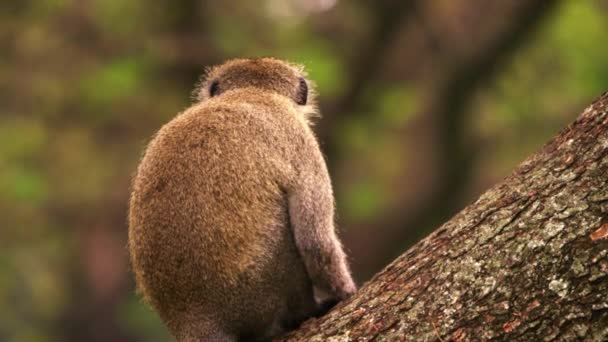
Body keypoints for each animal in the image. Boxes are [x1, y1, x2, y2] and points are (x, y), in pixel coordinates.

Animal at [128, 57, 356, 340]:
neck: (252, 92)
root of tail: (193, 321)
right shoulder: (300, 139)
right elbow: (315, 241)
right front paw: (345, 292)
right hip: (256, 293)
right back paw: (303, 312)